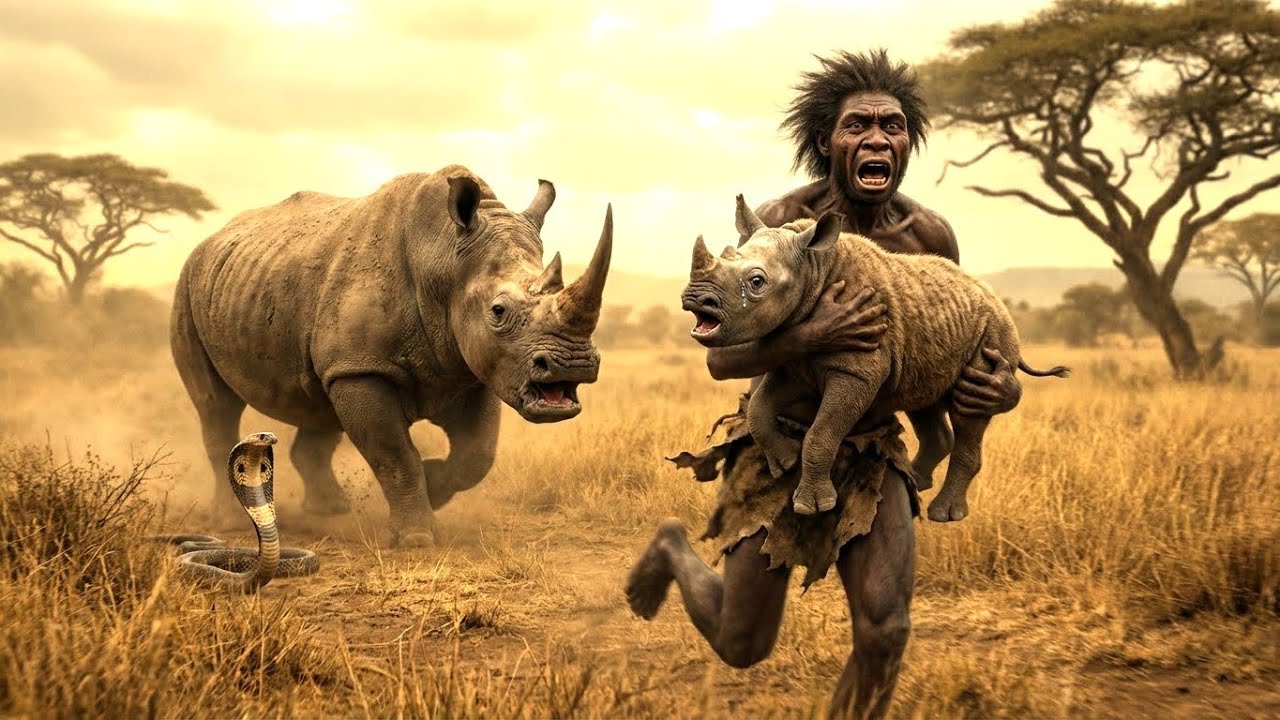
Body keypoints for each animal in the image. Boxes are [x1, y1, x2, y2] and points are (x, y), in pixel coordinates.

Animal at [171, 165, 612, 547]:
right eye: (498, 311)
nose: (573, 364)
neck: (445, 259)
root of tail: (211, 240)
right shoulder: (363, 369)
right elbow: (394, 453)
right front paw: (417, 538)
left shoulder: (475, 366)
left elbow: (478, 453)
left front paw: (434, 488)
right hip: (188, 286)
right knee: (216, 406)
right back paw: (231, 521)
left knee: (319, 405)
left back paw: (330, 511)